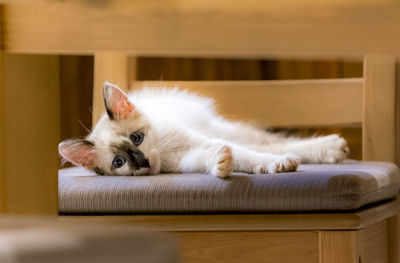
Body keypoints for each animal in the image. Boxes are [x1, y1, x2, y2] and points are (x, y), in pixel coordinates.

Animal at [57, 82, 348, 177]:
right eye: (119, 162)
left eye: (137, 138)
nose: (142, 161)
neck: (167, 154)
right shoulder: (189, 158)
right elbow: (228, 158)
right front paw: (222, 164)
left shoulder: (199, 140)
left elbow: (252, 155)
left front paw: (278, 164)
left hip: (224, 129)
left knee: (268, 143)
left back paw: (332, 148)